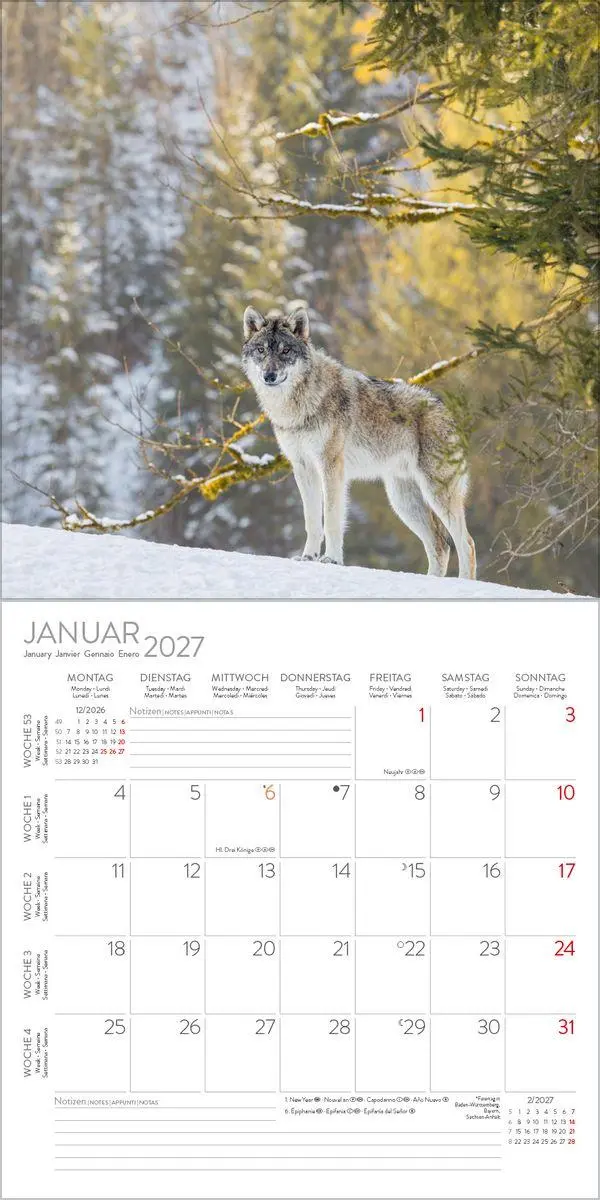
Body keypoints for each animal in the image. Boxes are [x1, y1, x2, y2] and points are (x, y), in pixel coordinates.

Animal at [241, 305, 476, 578]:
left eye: (285, 351)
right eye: (261, 350)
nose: (269, 376)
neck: (299, 405)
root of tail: (447, 410)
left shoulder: (331, 467)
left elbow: (332, 519)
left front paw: (332, 560)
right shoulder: (303, 468)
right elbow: (312, 521)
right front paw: (308, 557)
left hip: (437, 494)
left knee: (466, 543)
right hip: (403, 500)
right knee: (440, 545)